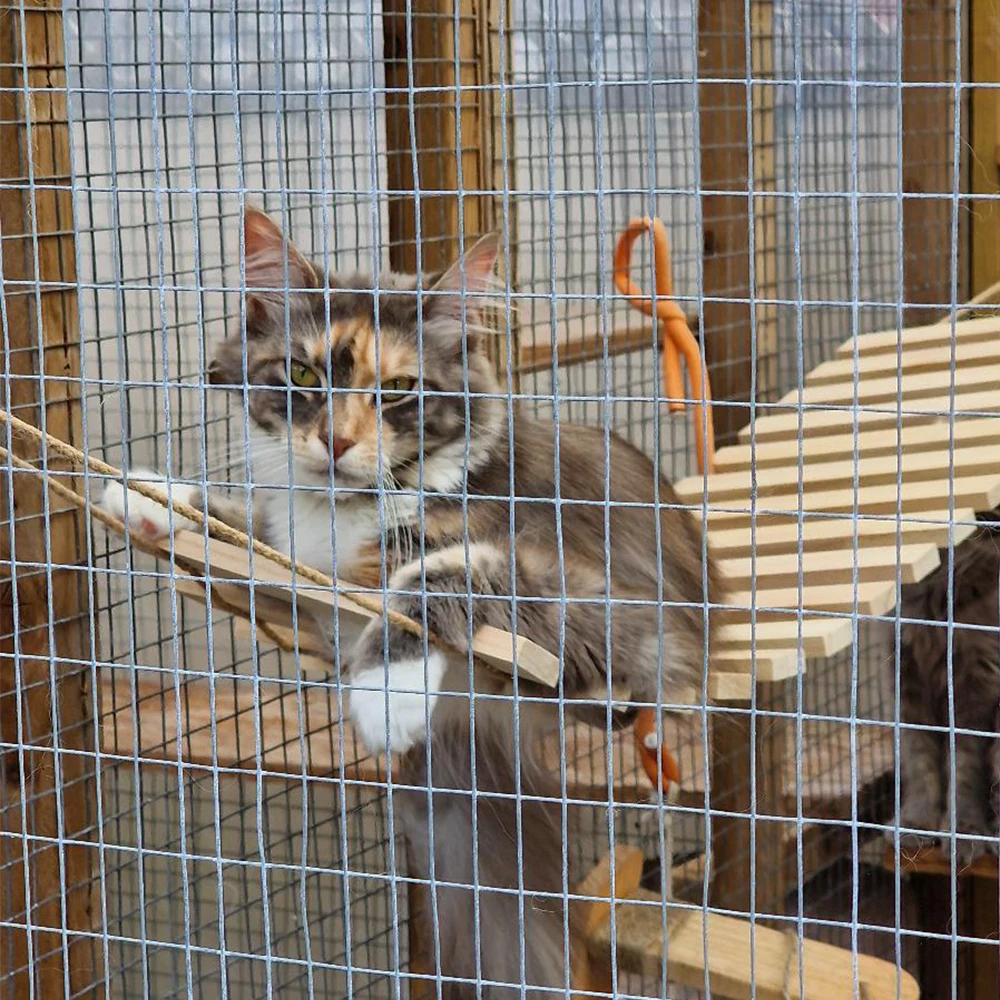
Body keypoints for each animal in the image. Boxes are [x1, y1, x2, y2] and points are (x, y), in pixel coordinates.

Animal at [105, 209, 724, 992]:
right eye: (301, 374)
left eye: (399, 386)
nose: (335, 442)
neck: (347, 508)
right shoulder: (308, 580)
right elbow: (245, 531)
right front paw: (150, 498)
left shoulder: (624, 607)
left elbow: (434, 577)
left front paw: (385, 694)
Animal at [892, 512, 1000, 864]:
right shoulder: (906, 677)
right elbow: (919, 758)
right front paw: (916, 820)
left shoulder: (977, 688)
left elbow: (964, 768)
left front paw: (963, 831)